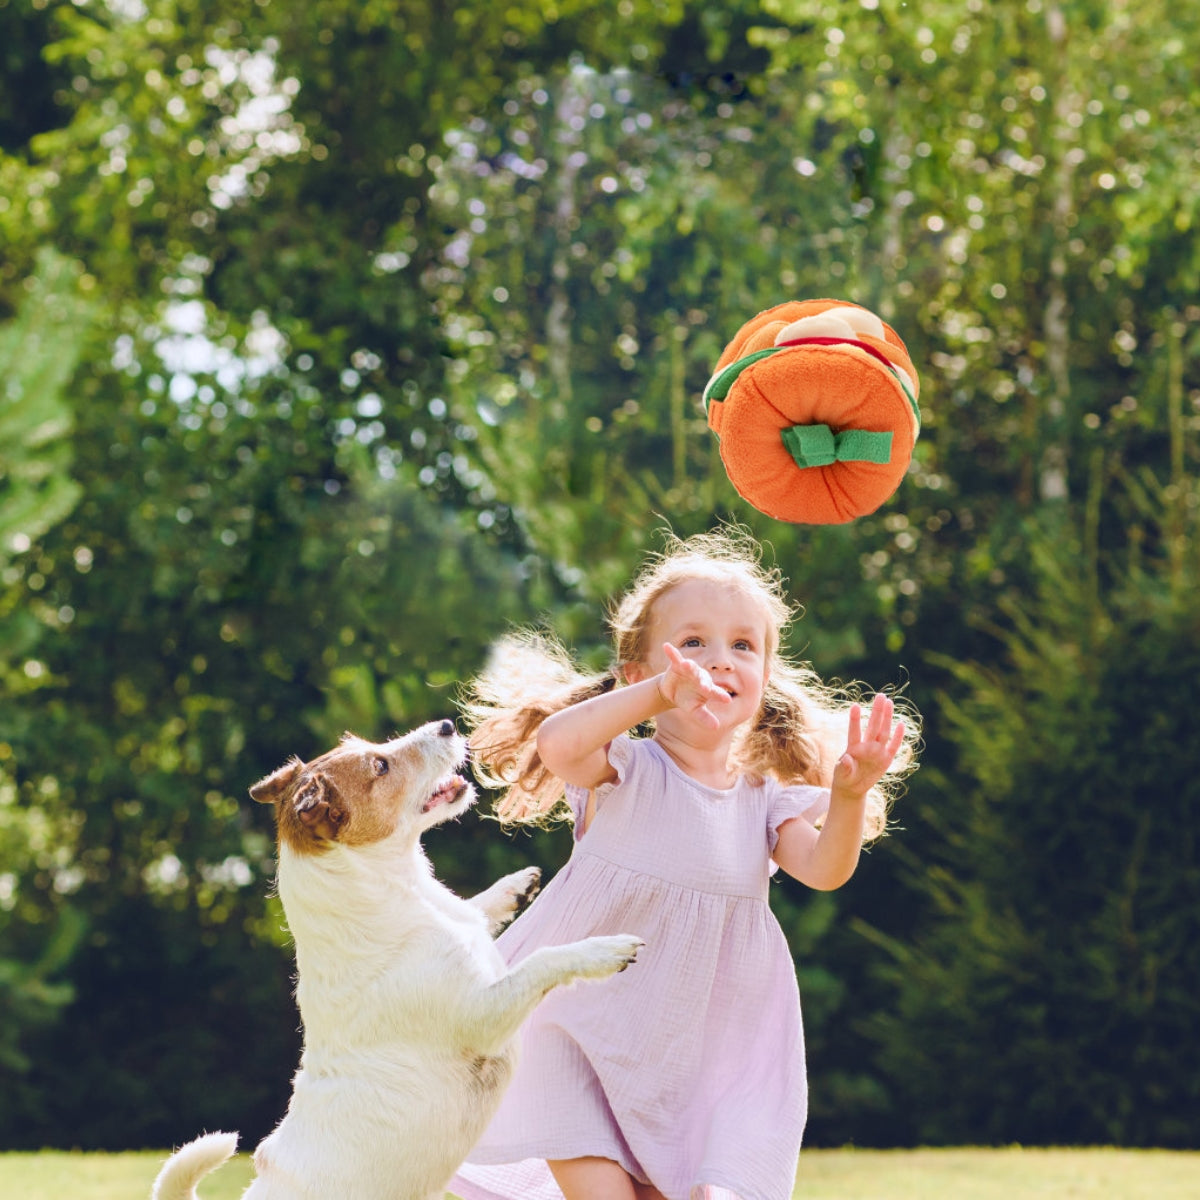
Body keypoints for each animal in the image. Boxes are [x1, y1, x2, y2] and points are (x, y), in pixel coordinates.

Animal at [152, 720, 648, 1200]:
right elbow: (543, 961)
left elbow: (478, 910)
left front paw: (513, 887)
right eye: (381, 765)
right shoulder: (486, 1017)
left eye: (371, 746)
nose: (447, 724)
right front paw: (603, 950)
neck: (394, 892)